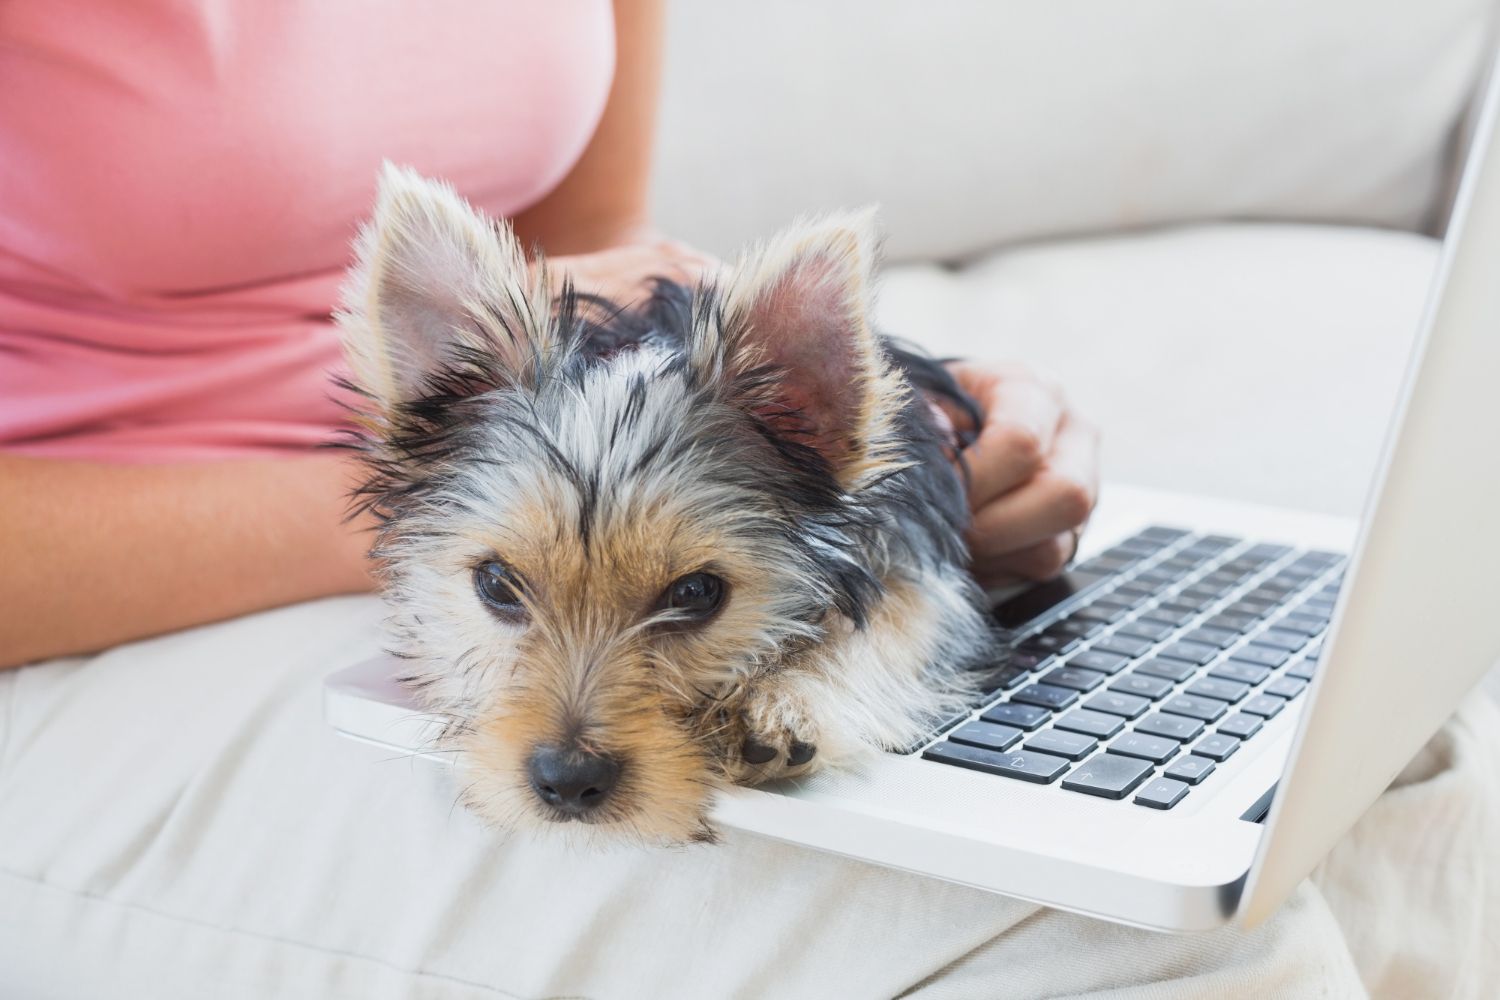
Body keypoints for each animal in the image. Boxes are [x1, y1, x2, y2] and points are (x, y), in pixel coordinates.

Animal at [340, 166, 996, 845]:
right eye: (496, 584)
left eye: (697, 593)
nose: (568, 781)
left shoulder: (919, 560)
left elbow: (899, 616)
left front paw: (788, 700)